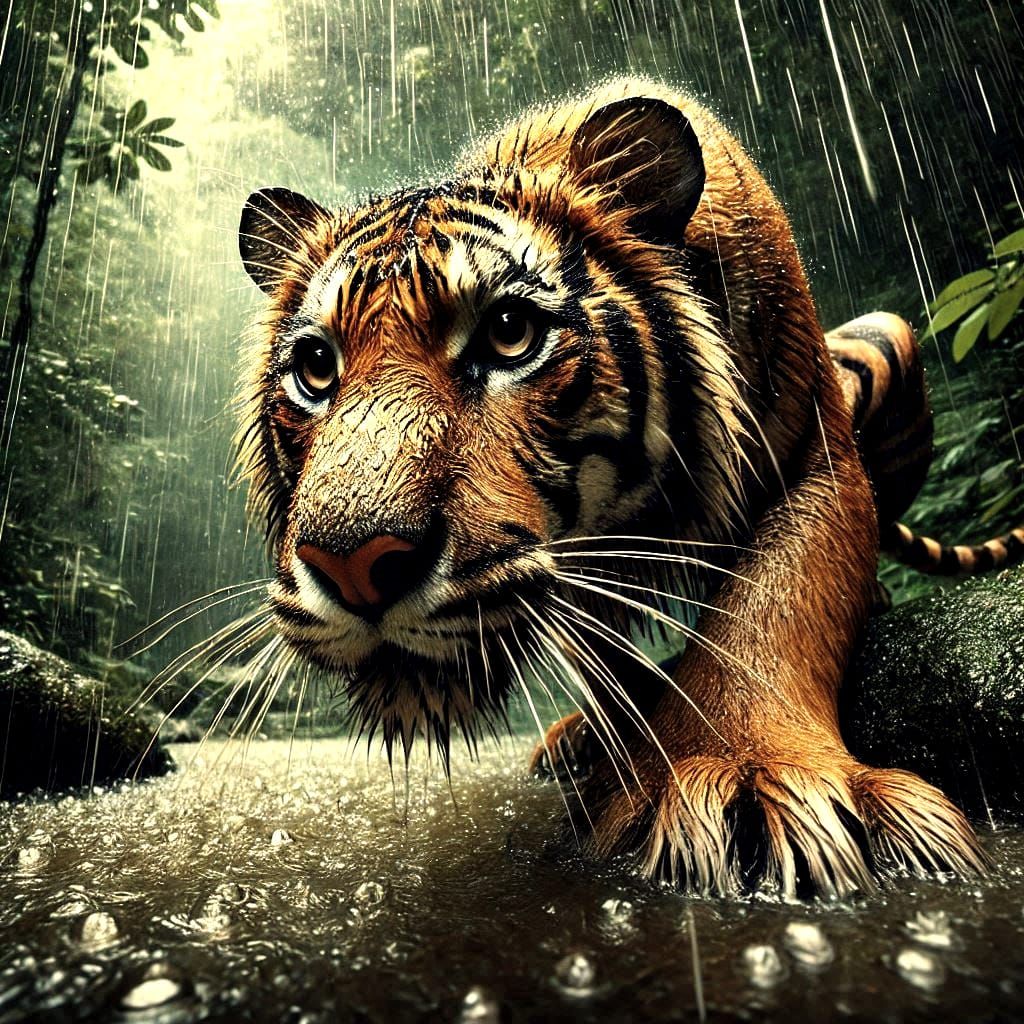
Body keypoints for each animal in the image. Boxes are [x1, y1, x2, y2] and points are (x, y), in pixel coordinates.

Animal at [235, 78, 1022, 898]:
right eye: (316, 369)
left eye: (510, 333)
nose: (352, 565)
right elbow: (603, 661)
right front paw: (627, 748)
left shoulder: (816, 454)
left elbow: (773, 605)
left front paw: (749, 775)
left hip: (885, 339)